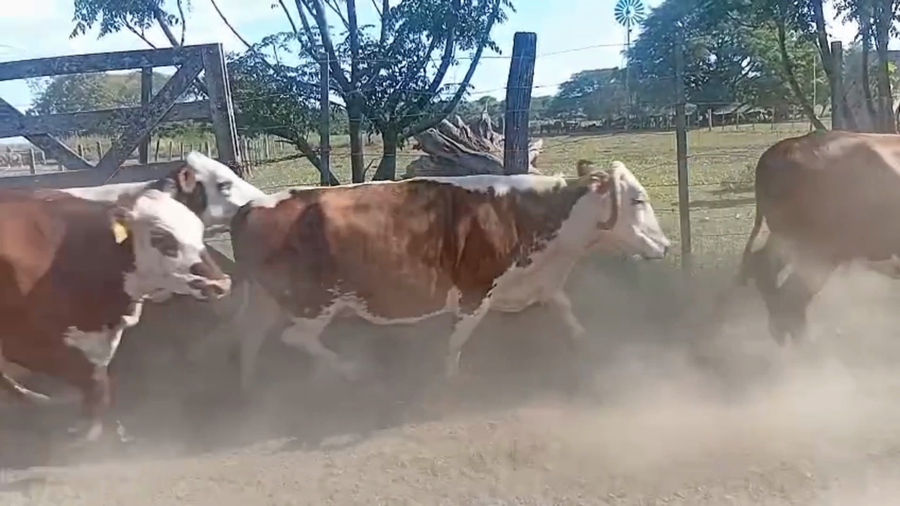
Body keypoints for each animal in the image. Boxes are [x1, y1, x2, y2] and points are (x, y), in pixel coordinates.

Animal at [0, 187, 232, 444]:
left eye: (199, 231)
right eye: (160, 237)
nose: (221, 283)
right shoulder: (26, 342)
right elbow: (97, 382)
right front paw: (87, 430)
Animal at [195, 160, 670, 391]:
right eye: (638, 199)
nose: (665, 246)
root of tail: (252, 206)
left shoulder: (536, 283)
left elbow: (567, 311)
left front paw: (587, 347)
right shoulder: (476, 293)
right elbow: (457, 340)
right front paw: (448, 380)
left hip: (267, 298)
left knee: (251, 336)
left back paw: (251, 386)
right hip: (315, 303)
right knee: (295, 338)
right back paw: (350, 371)